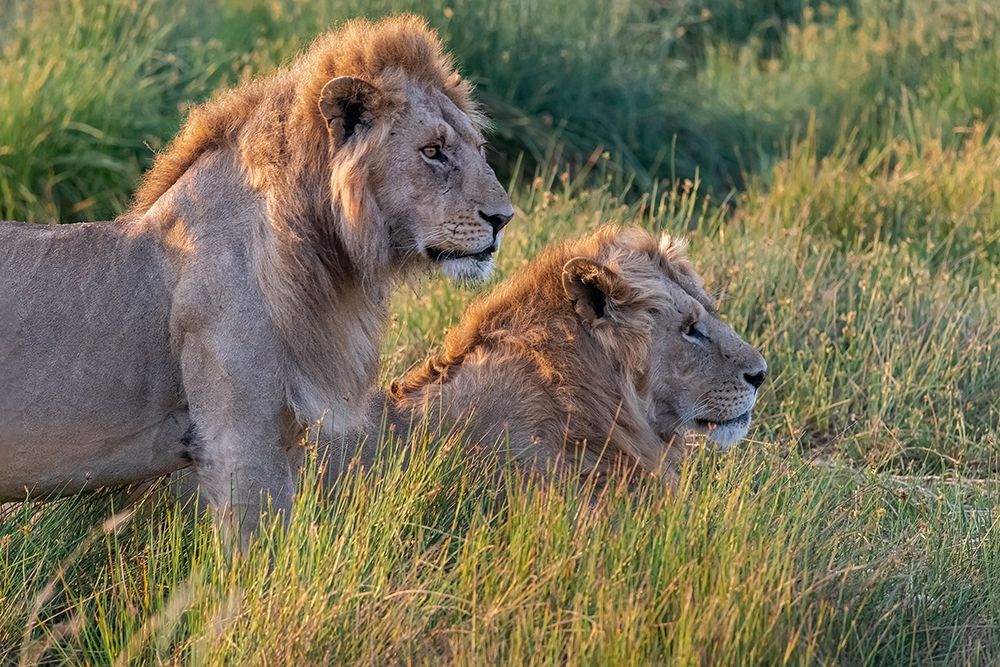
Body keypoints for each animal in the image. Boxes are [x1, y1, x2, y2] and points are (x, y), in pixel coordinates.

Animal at [0, 15, 513, 548]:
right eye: (433, 151)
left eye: (479, 149)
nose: (504, 219)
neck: (325, 258)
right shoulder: (236, 437)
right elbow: (256, 552)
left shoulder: (282, 435)